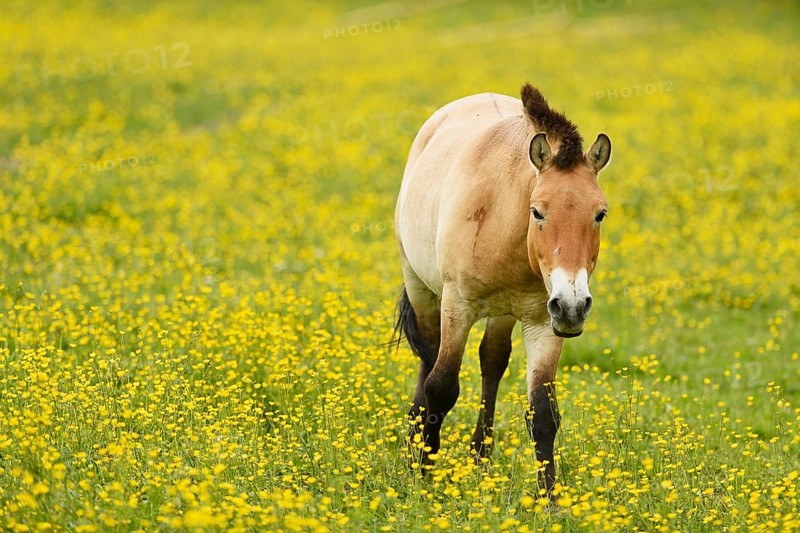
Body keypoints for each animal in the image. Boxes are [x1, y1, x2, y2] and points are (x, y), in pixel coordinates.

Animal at [393, 82, 611, 498]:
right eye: (538, 211)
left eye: (600, 213)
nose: (574, 306)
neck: (501, 214)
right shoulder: (457, 306)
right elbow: (441, 388)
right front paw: (425, 475)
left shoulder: (545, 320)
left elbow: (543, 412)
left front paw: (549, 499)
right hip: (421, 287)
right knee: (428, 356)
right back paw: (416, 443)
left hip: (506, 313)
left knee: (492, 361)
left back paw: (480, 457)